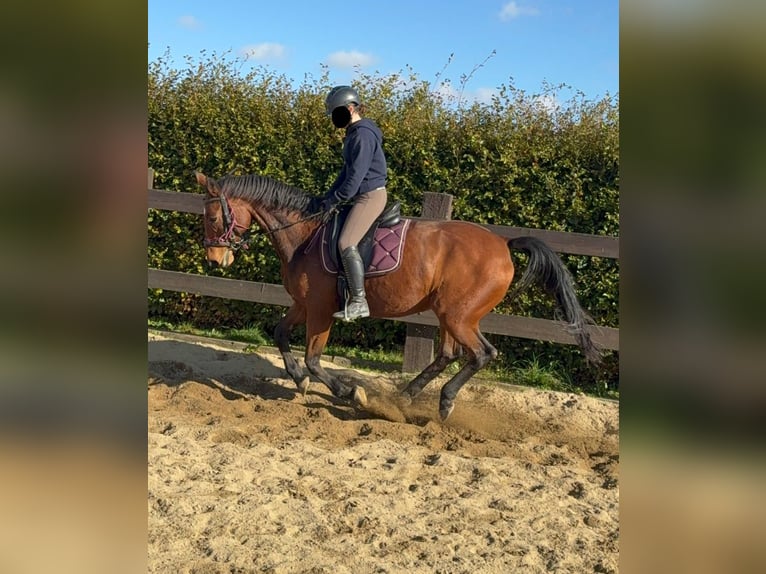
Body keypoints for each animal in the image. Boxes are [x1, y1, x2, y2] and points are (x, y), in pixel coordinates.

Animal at [195, 171, 601, 420]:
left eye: (212, 219)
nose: (215, 259)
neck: (304, 235)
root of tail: (503, 243)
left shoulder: (321, 311)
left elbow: (314, 359)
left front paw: (349, 393)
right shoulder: (303, 304)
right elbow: (281, 334)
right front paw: (298, 380)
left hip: (459, 315)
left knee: (482, 354)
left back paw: (444, 401)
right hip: (447, 314)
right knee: (449, 354)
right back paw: (406, 396)